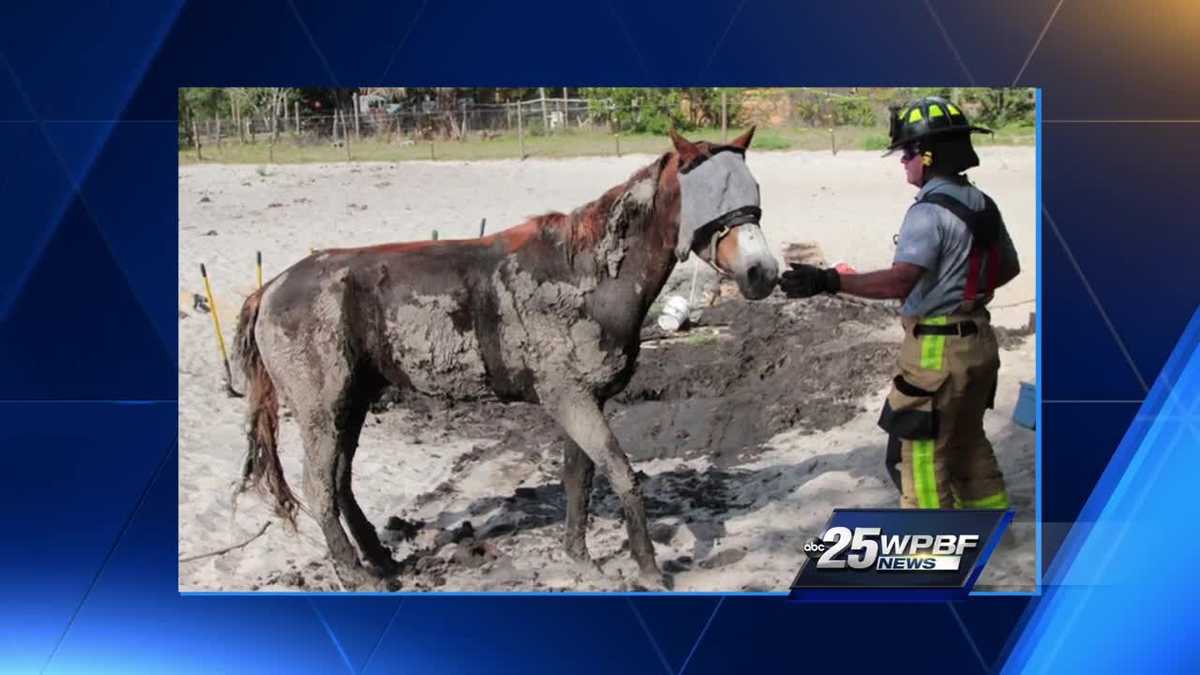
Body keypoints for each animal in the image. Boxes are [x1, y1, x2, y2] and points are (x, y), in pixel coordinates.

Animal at [232, 127, 777, 588]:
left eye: (753, 195)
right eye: (712, 196)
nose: (763, 273)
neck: (585, 276)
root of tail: (271, 287)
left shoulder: (583, 401)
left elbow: (579, 479)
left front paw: (581, 559)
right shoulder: (571, 400)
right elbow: (622, 475)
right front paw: (648, 570)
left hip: (354, 400)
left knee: (340, 481)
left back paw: (380, 559)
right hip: (322, 409)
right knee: (319, 487)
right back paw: (355, 573)